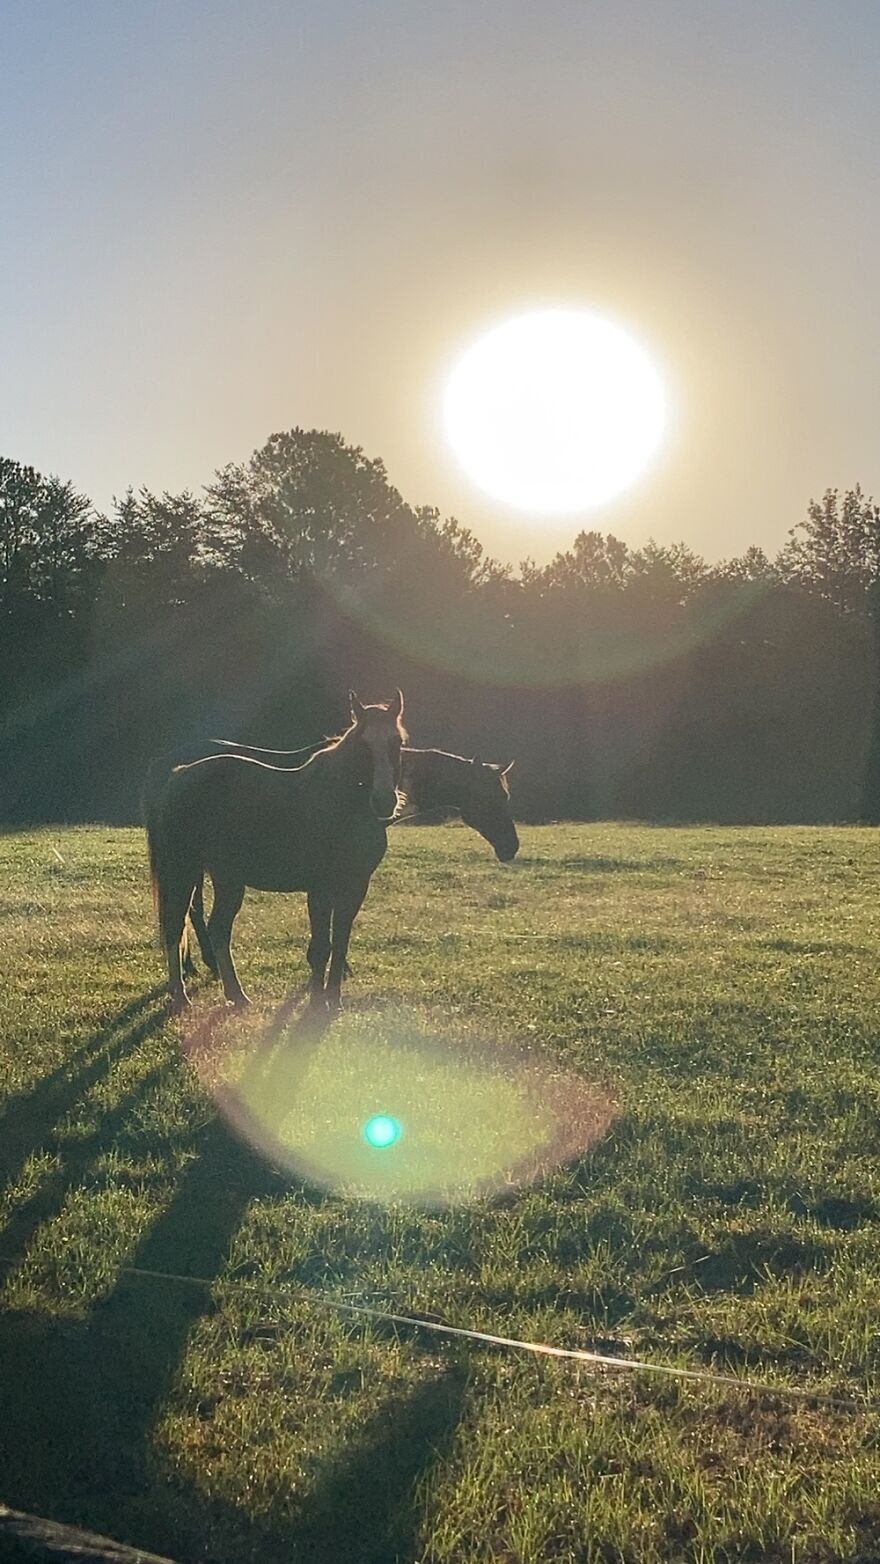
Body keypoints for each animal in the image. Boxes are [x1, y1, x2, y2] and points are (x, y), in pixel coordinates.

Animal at [145, 691, 406, 1014]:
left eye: (397, 742)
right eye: (362, 745)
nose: (384, 801)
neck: (341, 803)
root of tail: (177, 775)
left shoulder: (355, 887)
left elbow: (340, 942)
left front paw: (334, 999)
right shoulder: (320, 889)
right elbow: (322, 948)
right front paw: (317, 1003)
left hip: (227, 879)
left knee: (218, 928)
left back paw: (236, 994)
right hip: (183, 871)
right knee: (175, 926)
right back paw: (181, 996)